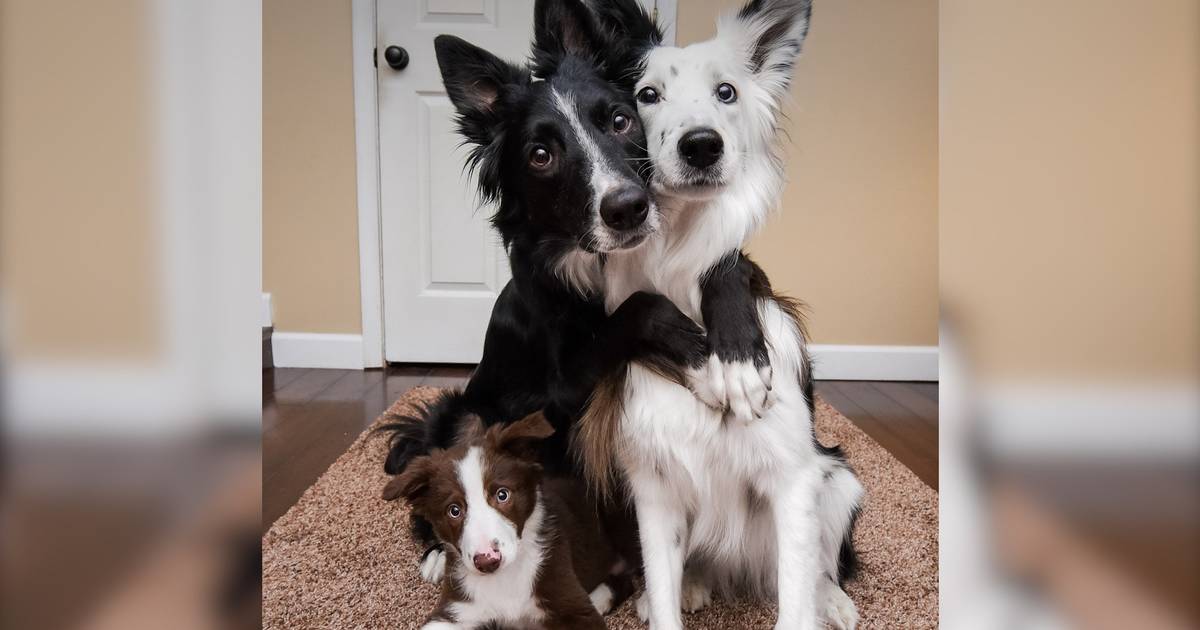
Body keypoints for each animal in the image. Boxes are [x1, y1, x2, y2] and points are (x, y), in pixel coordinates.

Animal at [381, 412, 638, 628]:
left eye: (502, 495)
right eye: (454, 510)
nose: (487, 561)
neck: (505, 577)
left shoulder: (570, 600)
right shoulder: (456, 608)